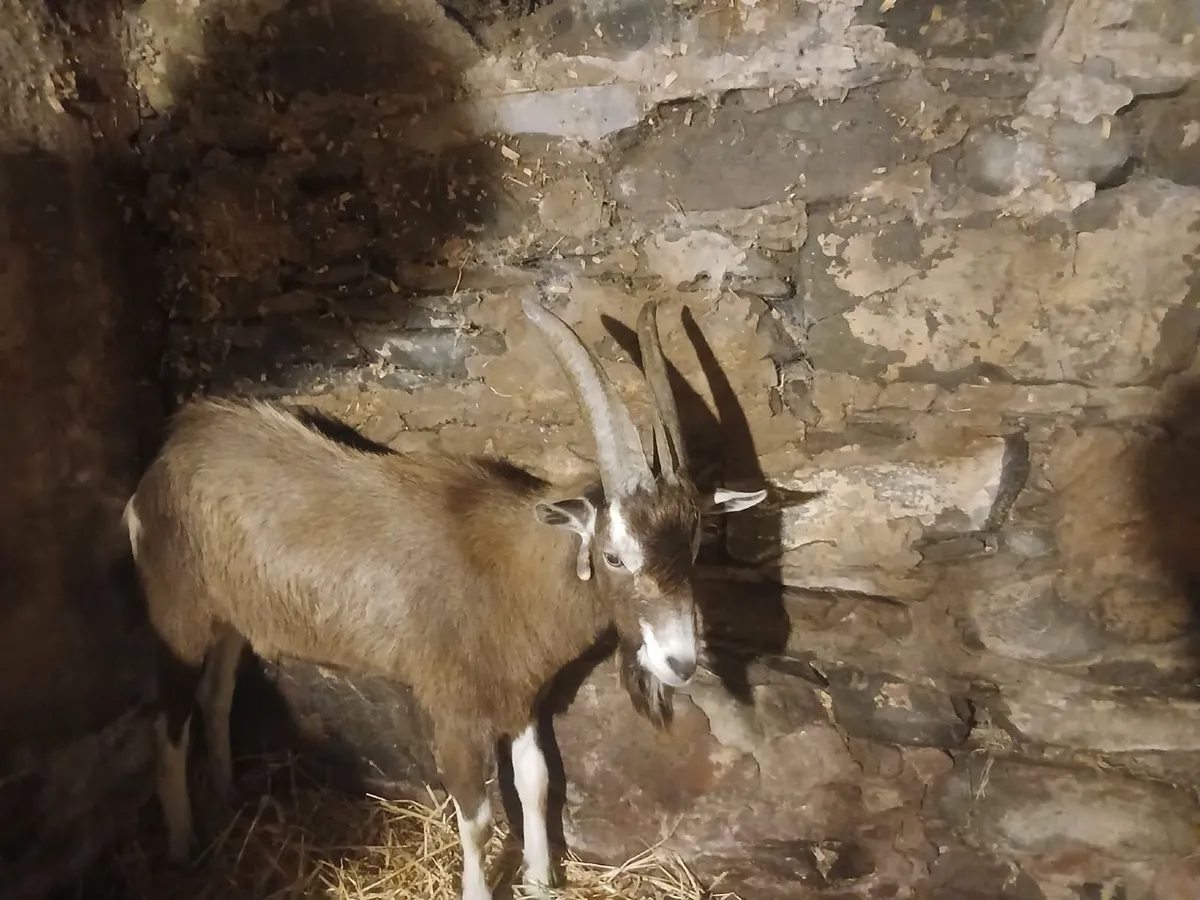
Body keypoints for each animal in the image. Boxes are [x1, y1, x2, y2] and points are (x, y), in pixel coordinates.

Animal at [122, 285, 767, 900]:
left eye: (694, 548)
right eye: (614, 555)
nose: (680, 662)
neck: (510, 571)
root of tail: (166, 460)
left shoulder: (520, 695)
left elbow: (536, 783)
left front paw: (541, 880)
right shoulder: (453, 710)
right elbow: (478, 819)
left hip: (230, 616)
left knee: (216, 696)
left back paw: (229, 795)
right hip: (177, 612)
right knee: (168, 721)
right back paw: (183, 845)